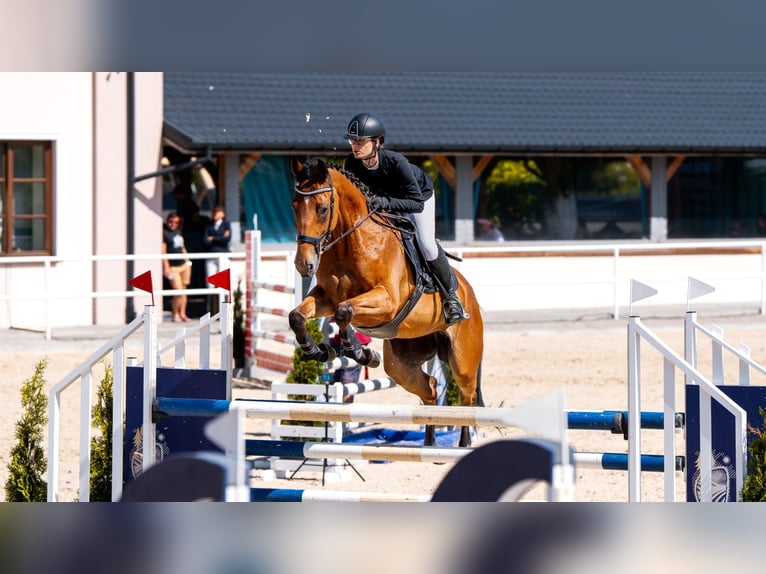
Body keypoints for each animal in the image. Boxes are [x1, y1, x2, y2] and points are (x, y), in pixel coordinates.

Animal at [287, 157, 484, 447]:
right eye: (294, 207)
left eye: (322, 209)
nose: (304, 265)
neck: (353, 243)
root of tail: (472, 298)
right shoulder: (326, 299)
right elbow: (298, 316)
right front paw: (320, 351)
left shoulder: (387, 301)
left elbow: (345, 312)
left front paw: (360, 353)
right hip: (402, 364)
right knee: (430, 389)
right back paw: (430, 445)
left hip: (463, 361)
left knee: (467, 399)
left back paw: (462, 445)